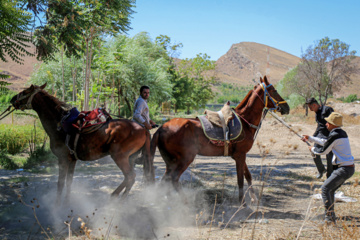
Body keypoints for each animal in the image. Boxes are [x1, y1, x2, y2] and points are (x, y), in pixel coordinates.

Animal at [10, 83, 154, 203]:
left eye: (25, 91)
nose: (12, 99)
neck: (59, 124)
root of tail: (143, 128)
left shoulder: (62, 159)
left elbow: (60, 183)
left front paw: (57, 205)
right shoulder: (72, 160)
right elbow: (69, 182)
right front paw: (66, 202)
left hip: (119, 156)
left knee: (130, 176)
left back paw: (118, 199)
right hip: (131, 157)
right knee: (129, 177)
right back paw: (117, 197)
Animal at [149, 76, 290, 203]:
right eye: (274, 90)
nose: (287, 107)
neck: (244, 121)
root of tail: (161, 128)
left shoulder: (239, 155)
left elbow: (248, 176)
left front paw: (253, 199)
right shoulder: (240, 155)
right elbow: (240, 180)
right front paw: (242, 203)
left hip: (170, 162)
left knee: (165, 181)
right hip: (184, 159)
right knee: (173, 179)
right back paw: (184, 202)